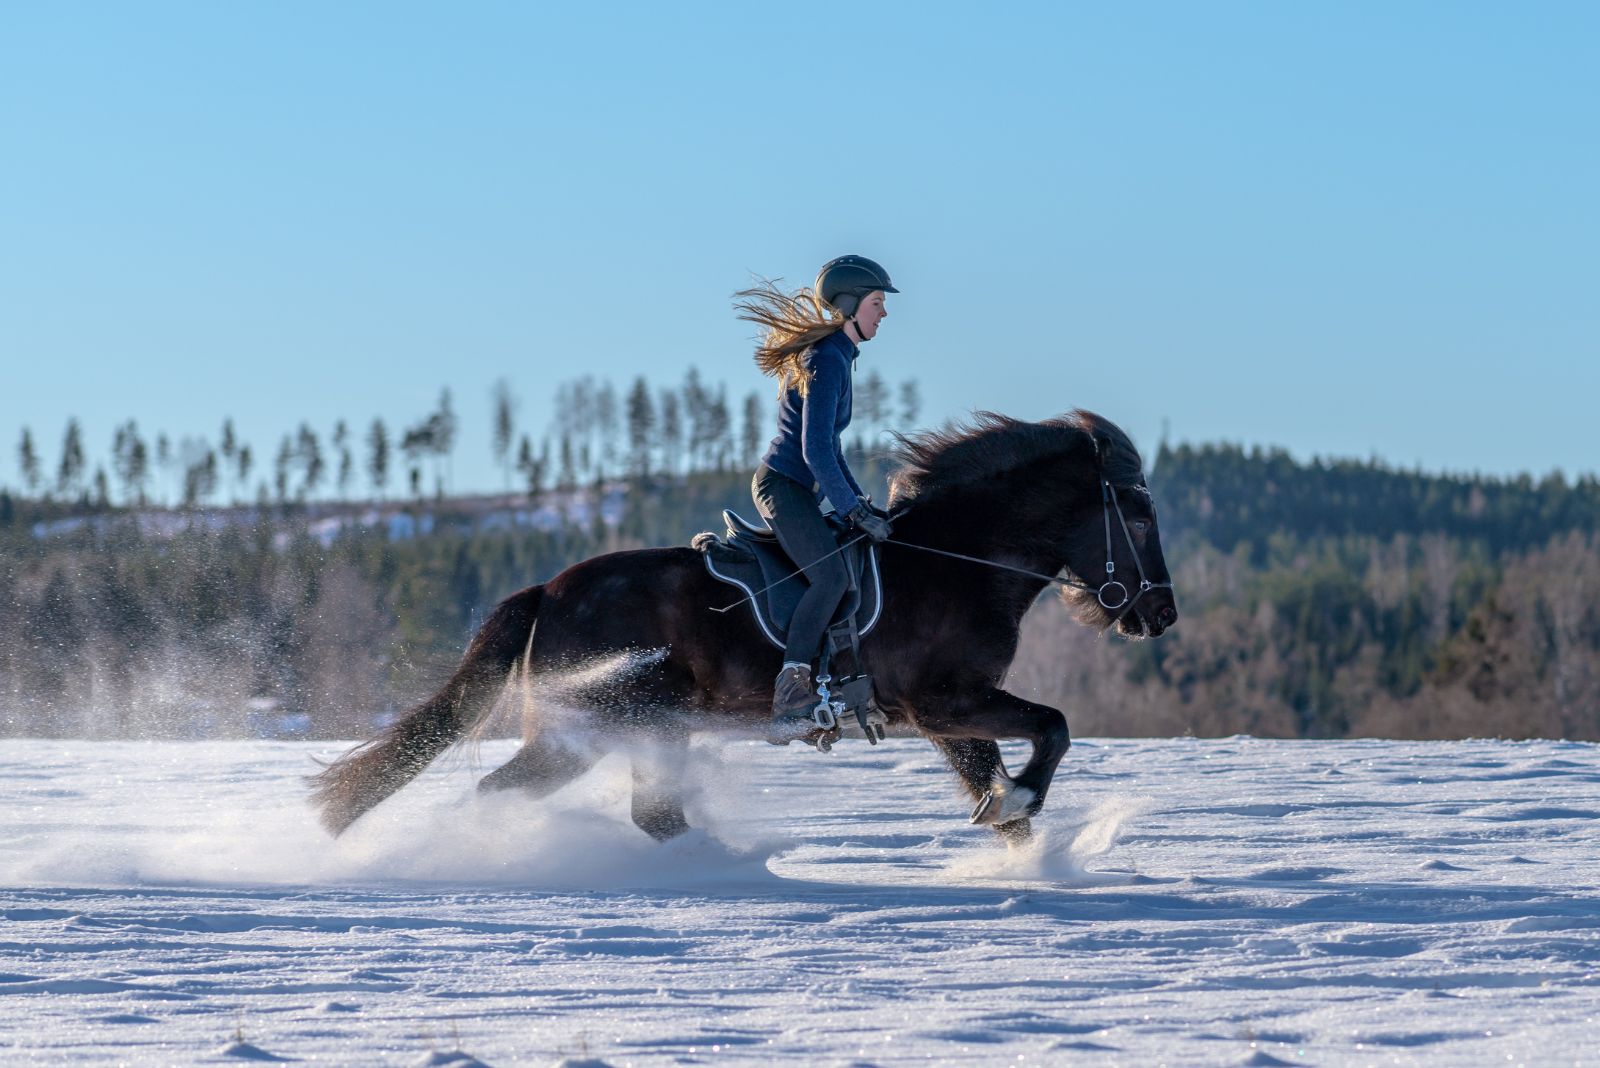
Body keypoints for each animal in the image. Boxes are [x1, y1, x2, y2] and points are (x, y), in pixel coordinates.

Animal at [312, 409, 1184, 844]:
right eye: (1140, 515)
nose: (1161, 613)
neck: (957, 559)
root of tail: (549, 592)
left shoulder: (945, 716)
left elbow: (1000, 787)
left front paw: (1022, 852)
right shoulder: (948, 700)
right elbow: (1054, 729)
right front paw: (1021, 803)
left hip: (644, 727)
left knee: (649, 815)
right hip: (593, 728)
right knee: (512, 795)